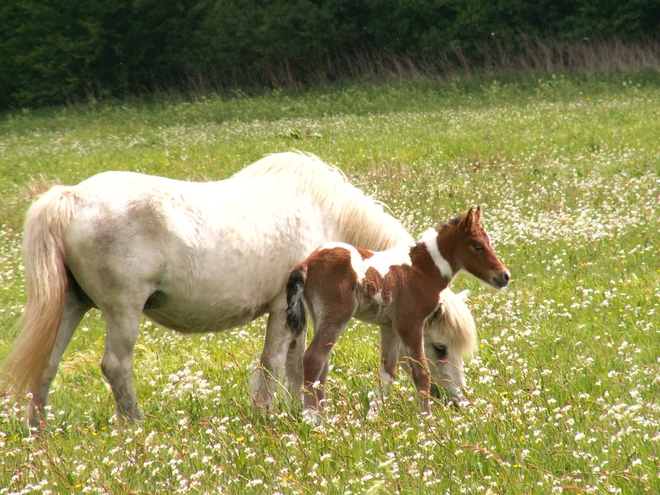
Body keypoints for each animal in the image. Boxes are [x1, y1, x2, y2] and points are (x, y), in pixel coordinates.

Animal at [0, 151, 474, 426]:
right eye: (440, 347)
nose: (456, 402)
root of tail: (70, 197)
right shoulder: (284, 307)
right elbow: (274, 363)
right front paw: (271, 415)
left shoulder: (301, 314)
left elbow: (295, 364)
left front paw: (295, 411)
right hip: (123, 311)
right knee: (116, 366)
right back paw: (137, 427)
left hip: (71, 307)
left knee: (47, 367)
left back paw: (38, 433)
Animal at [284, 207, 510, 424]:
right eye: (477, 246)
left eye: (489, 242)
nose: (504, 276)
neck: (421, 271)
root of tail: (306, 263)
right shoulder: (410, 324)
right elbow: (421, 373)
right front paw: (427, 420)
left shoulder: (389, 327)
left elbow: (388, 372)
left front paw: (372, 418)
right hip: (336, 316)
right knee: (313, 358)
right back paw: (312, 418)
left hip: (319, 317)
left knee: (323, 365)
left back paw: (325, 419)